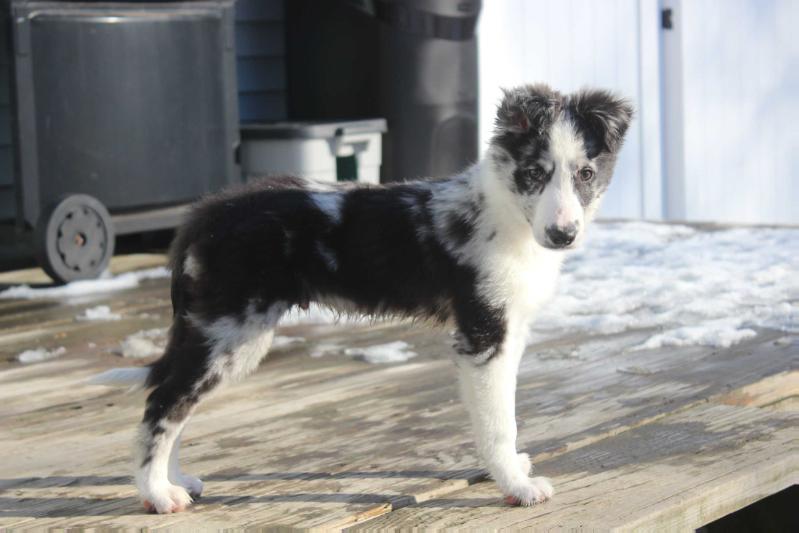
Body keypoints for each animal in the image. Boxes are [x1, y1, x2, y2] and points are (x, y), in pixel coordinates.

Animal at [92, 83, 632, 512]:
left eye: (586, 174)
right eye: (534, 173)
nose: (562, 235)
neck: (506, 216)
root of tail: (206, 213)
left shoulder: (509, 330)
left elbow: (506, 417)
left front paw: (513, 469)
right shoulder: (482, 337)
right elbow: (498, 422)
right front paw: (517, 487)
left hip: (224, 336)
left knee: (177, 403)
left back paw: (175, 480)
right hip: (228, 331)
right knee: (163, 405)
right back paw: (156, 494)